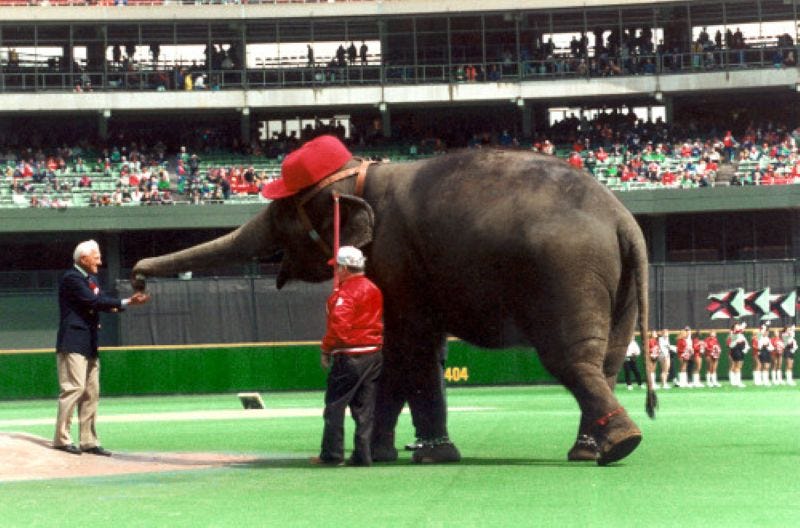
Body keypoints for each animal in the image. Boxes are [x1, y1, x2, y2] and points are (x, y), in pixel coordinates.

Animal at [132, 135, 656, 466]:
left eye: (281, 211)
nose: (135, 278)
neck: (362, 177)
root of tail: (621, 220)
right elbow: (411, 354)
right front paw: (396, 452)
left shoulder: (395, 257)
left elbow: (409, 349)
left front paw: (427, 455)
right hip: (614, 280)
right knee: (607, 359)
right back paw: (593, 449)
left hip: (565, 269)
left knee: (569, 359)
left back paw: (620, 445)